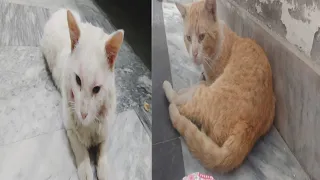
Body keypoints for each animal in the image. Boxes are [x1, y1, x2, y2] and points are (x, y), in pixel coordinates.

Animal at [39, 8, 124, 180]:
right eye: (77, 80)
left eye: (97, 89)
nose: (83, 114)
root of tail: (60, 11)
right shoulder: (69, 125)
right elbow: (80, 149)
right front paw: (85, 169)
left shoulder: (107, 127)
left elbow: (103, 149)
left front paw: (104, 170)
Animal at [164, 0, 276, 172]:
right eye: (188, 38)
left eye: (202, 36)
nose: (194, 54)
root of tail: (246, 128)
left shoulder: (209, 82)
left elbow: (193, 88)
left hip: (204, 94)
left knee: (178, 104)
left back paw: (170, 90)